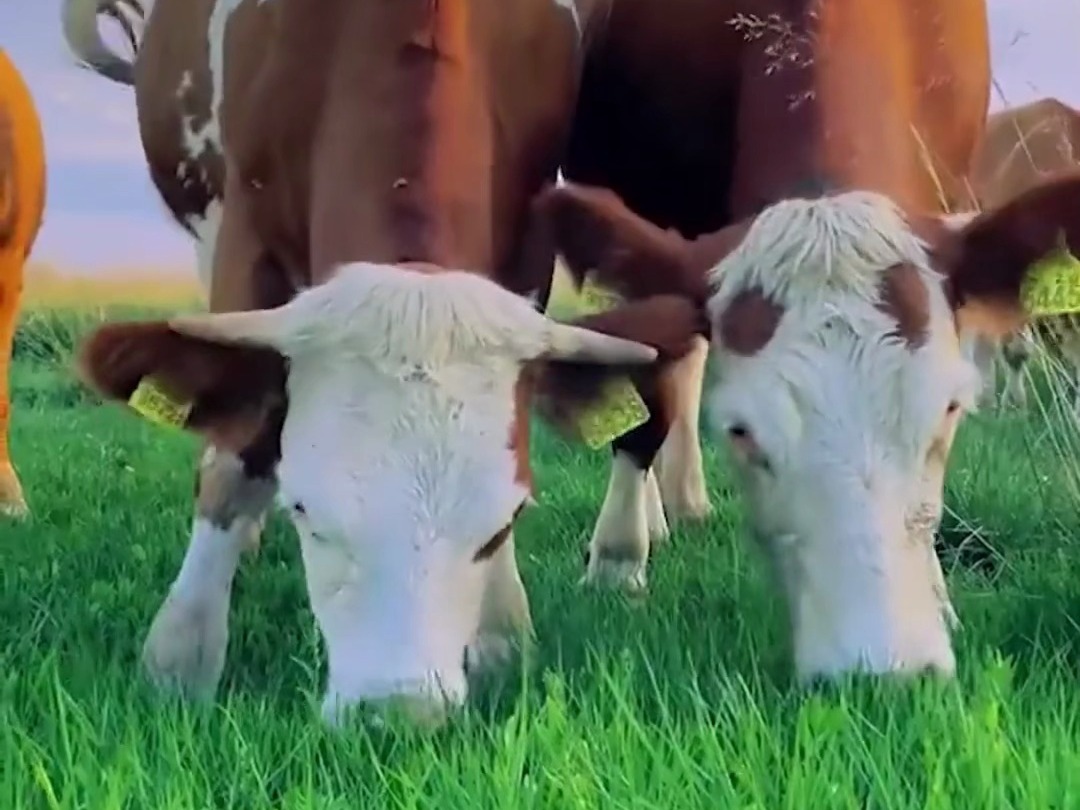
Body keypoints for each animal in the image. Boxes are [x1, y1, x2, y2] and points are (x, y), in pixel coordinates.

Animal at [61, 0, 699, 730]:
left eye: (503, 525)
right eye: (306, 514)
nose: (400, 716)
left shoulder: (528, 236)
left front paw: (501, 630)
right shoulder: (245, 235)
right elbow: (234, 459)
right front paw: (181, 652)